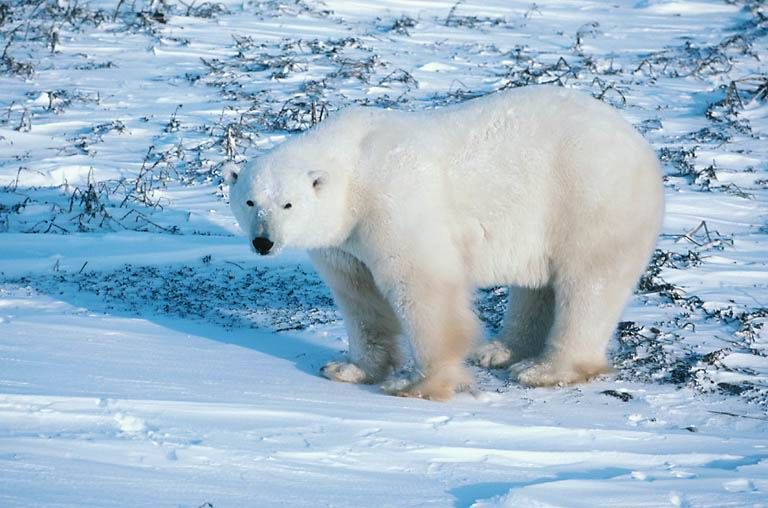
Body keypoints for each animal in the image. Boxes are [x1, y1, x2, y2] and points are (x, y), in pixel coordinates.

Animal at [225, 87, 664, 402]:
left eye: (288, 203)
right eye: (250, 202)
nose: (263, 241)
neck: (354, 172)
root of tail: (640, 145)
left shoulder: (393, 204)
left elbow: (422, 287)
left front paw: (417, 384)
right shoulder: (344, 240)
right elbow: (359, 297)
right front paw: (349, 369)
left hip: (588, 198)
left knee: (588, 284)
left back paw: (544, 369)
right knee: (537, 285)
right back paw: (500, 351)